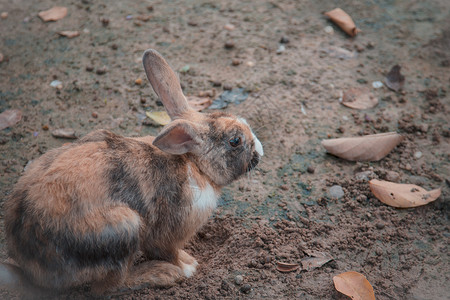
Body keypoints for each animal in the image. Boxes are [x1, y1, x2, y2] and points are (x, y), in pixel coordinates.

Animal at [0, 49, 262, 296]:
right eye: (235, 141)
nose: (260, 150)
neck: (194, 164)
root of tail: (32, 267)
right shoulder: (167, 234)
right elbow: (168, 251)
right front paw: (188, 266)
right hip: (123, 228)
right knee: (107, 287)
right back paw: (161, 273)